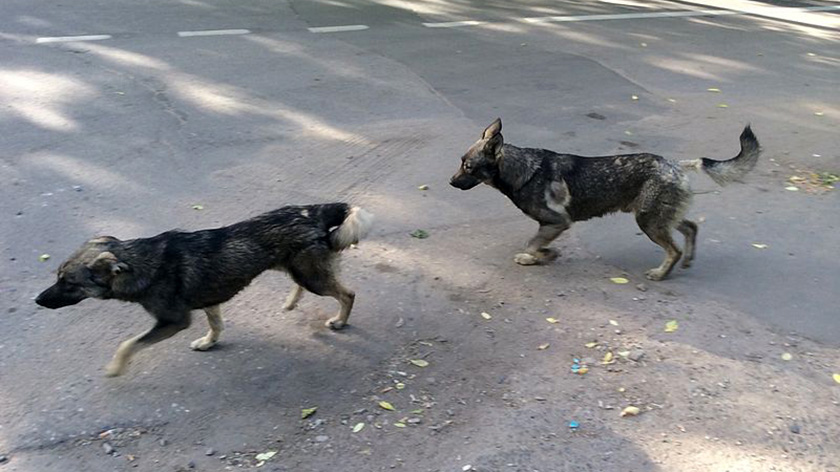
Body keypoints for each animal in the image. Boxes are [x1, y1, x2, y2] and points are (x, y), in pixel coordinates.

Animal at [35, 203, 370, 376]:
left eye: (69, 283)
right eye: (58, 277)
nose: (37, 300)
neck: (141, 262)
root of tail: (311, 211)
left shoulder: (173, 321)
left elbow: (128, 344)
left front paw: (116, 368)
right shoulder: (210, 299)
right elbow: (216, 324)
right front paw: (209, 342)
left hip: (312, 277)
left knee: (347, 294)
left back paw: (340, 321)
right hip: (298, 270)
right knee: (305, 285)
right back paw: (291, 302)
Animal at [452, 119, 760, 280]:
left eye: (468, 167)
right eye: (461, 162)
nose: (450, 182)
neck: (524, 171)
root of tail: (676, 164)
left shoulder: (557, 222)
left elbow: (531, 243)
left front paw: (532, 257)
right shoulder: (551, 226)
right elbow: (539, 243)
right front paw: (547, 255)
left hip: (649, 221)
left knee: (674, 248)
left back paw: (661, 273)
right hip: (661, 216)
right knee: (691, 227)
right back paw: (687, 261)